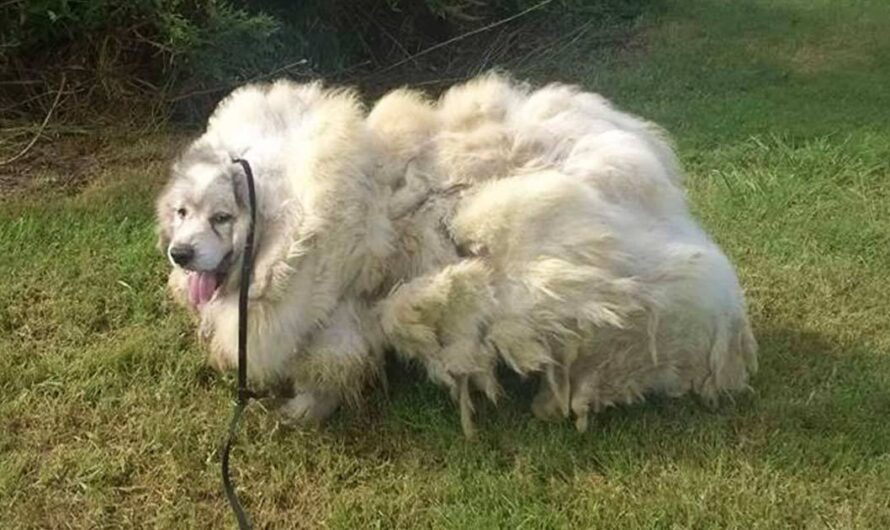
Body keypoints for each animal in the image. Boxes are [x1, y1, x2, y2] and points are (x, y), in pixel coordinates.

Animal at [156, 73, 752, 434]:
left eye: (222, 217)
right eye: (182, 212)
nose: (180, 254)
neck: (286, 213)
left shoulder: (337, 317)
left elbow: (326, 369)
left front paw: (304, 412)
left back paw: (562, 401)